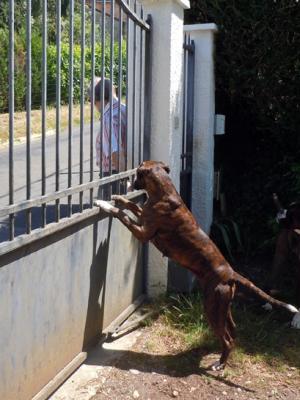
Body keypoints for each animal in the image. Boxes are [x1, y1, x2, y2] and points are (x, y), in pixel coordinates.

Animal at [94, 161, 300, 370]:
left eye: (137, 172)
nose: (129, 181)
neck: (164, 192)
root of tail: (230, 274)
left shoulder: (143, 232)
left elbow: (123, 215)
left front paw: (105, 205)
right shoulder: (143, 215)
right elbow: (131, 205)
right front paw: (116, 198)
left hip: (212, 308)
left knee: (227, 339)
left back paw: (220, 364)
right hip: (223, 307)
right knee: (233, 330)